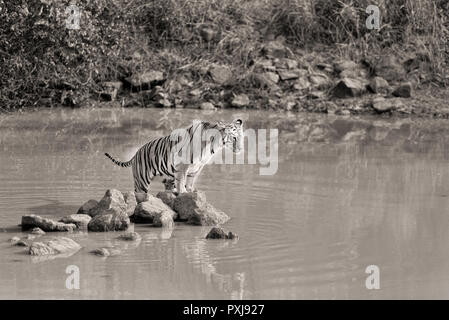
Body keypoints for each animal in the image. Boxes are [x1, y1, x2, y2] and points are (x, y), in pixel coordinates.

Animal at [104, 119, 243, 194]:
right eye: (234, 138)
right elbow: (181, 181)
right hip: (141, 182)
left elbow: (190, 182)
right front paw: (183, 192)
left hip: (166, 179)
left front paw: (190, 192)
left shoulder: (197, 167)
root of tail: (135, 154)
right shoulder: (183, 166)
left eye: (242, 137)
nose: (241, 149)